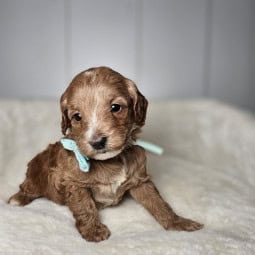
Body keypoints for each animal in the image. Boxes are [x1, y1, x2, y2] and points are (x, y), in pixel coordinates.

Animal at [8, 66, 203, 242]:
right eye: (77, 117)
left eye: (116, 107)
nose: (97, 142)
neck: (111, 160)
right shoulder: (74, 183)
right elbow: (84, 206)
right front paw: (93, 231)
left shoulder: (140, 179)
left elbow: (158, 202)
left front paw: (178, 223)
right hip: (34, 174)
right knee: (26, 187)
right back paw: (17, 199)